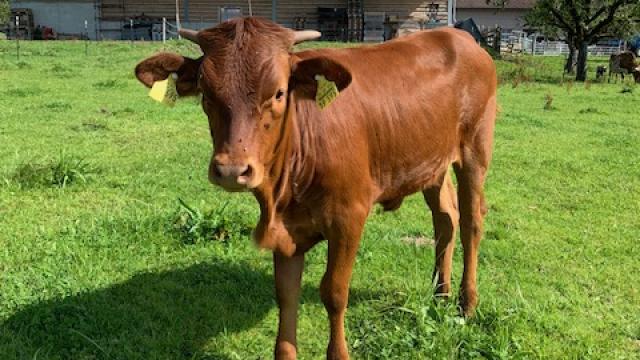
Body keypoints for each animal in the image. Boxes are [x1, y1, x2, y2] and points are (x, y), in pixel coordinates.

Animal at [134, 17, 496, 360]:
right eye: (206, 94)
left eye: (279, 92)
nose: (231, 170)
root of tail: (458, 36)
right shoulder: (284, 229)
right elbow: (286, 294)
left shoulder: (349, 218)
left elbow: (334, 292)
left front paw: (339, 352)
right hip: (432, 162)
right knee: (445, 219)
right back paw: (440, 294)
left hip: (475, 149)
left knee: (471, 222)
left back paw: (467, 303)